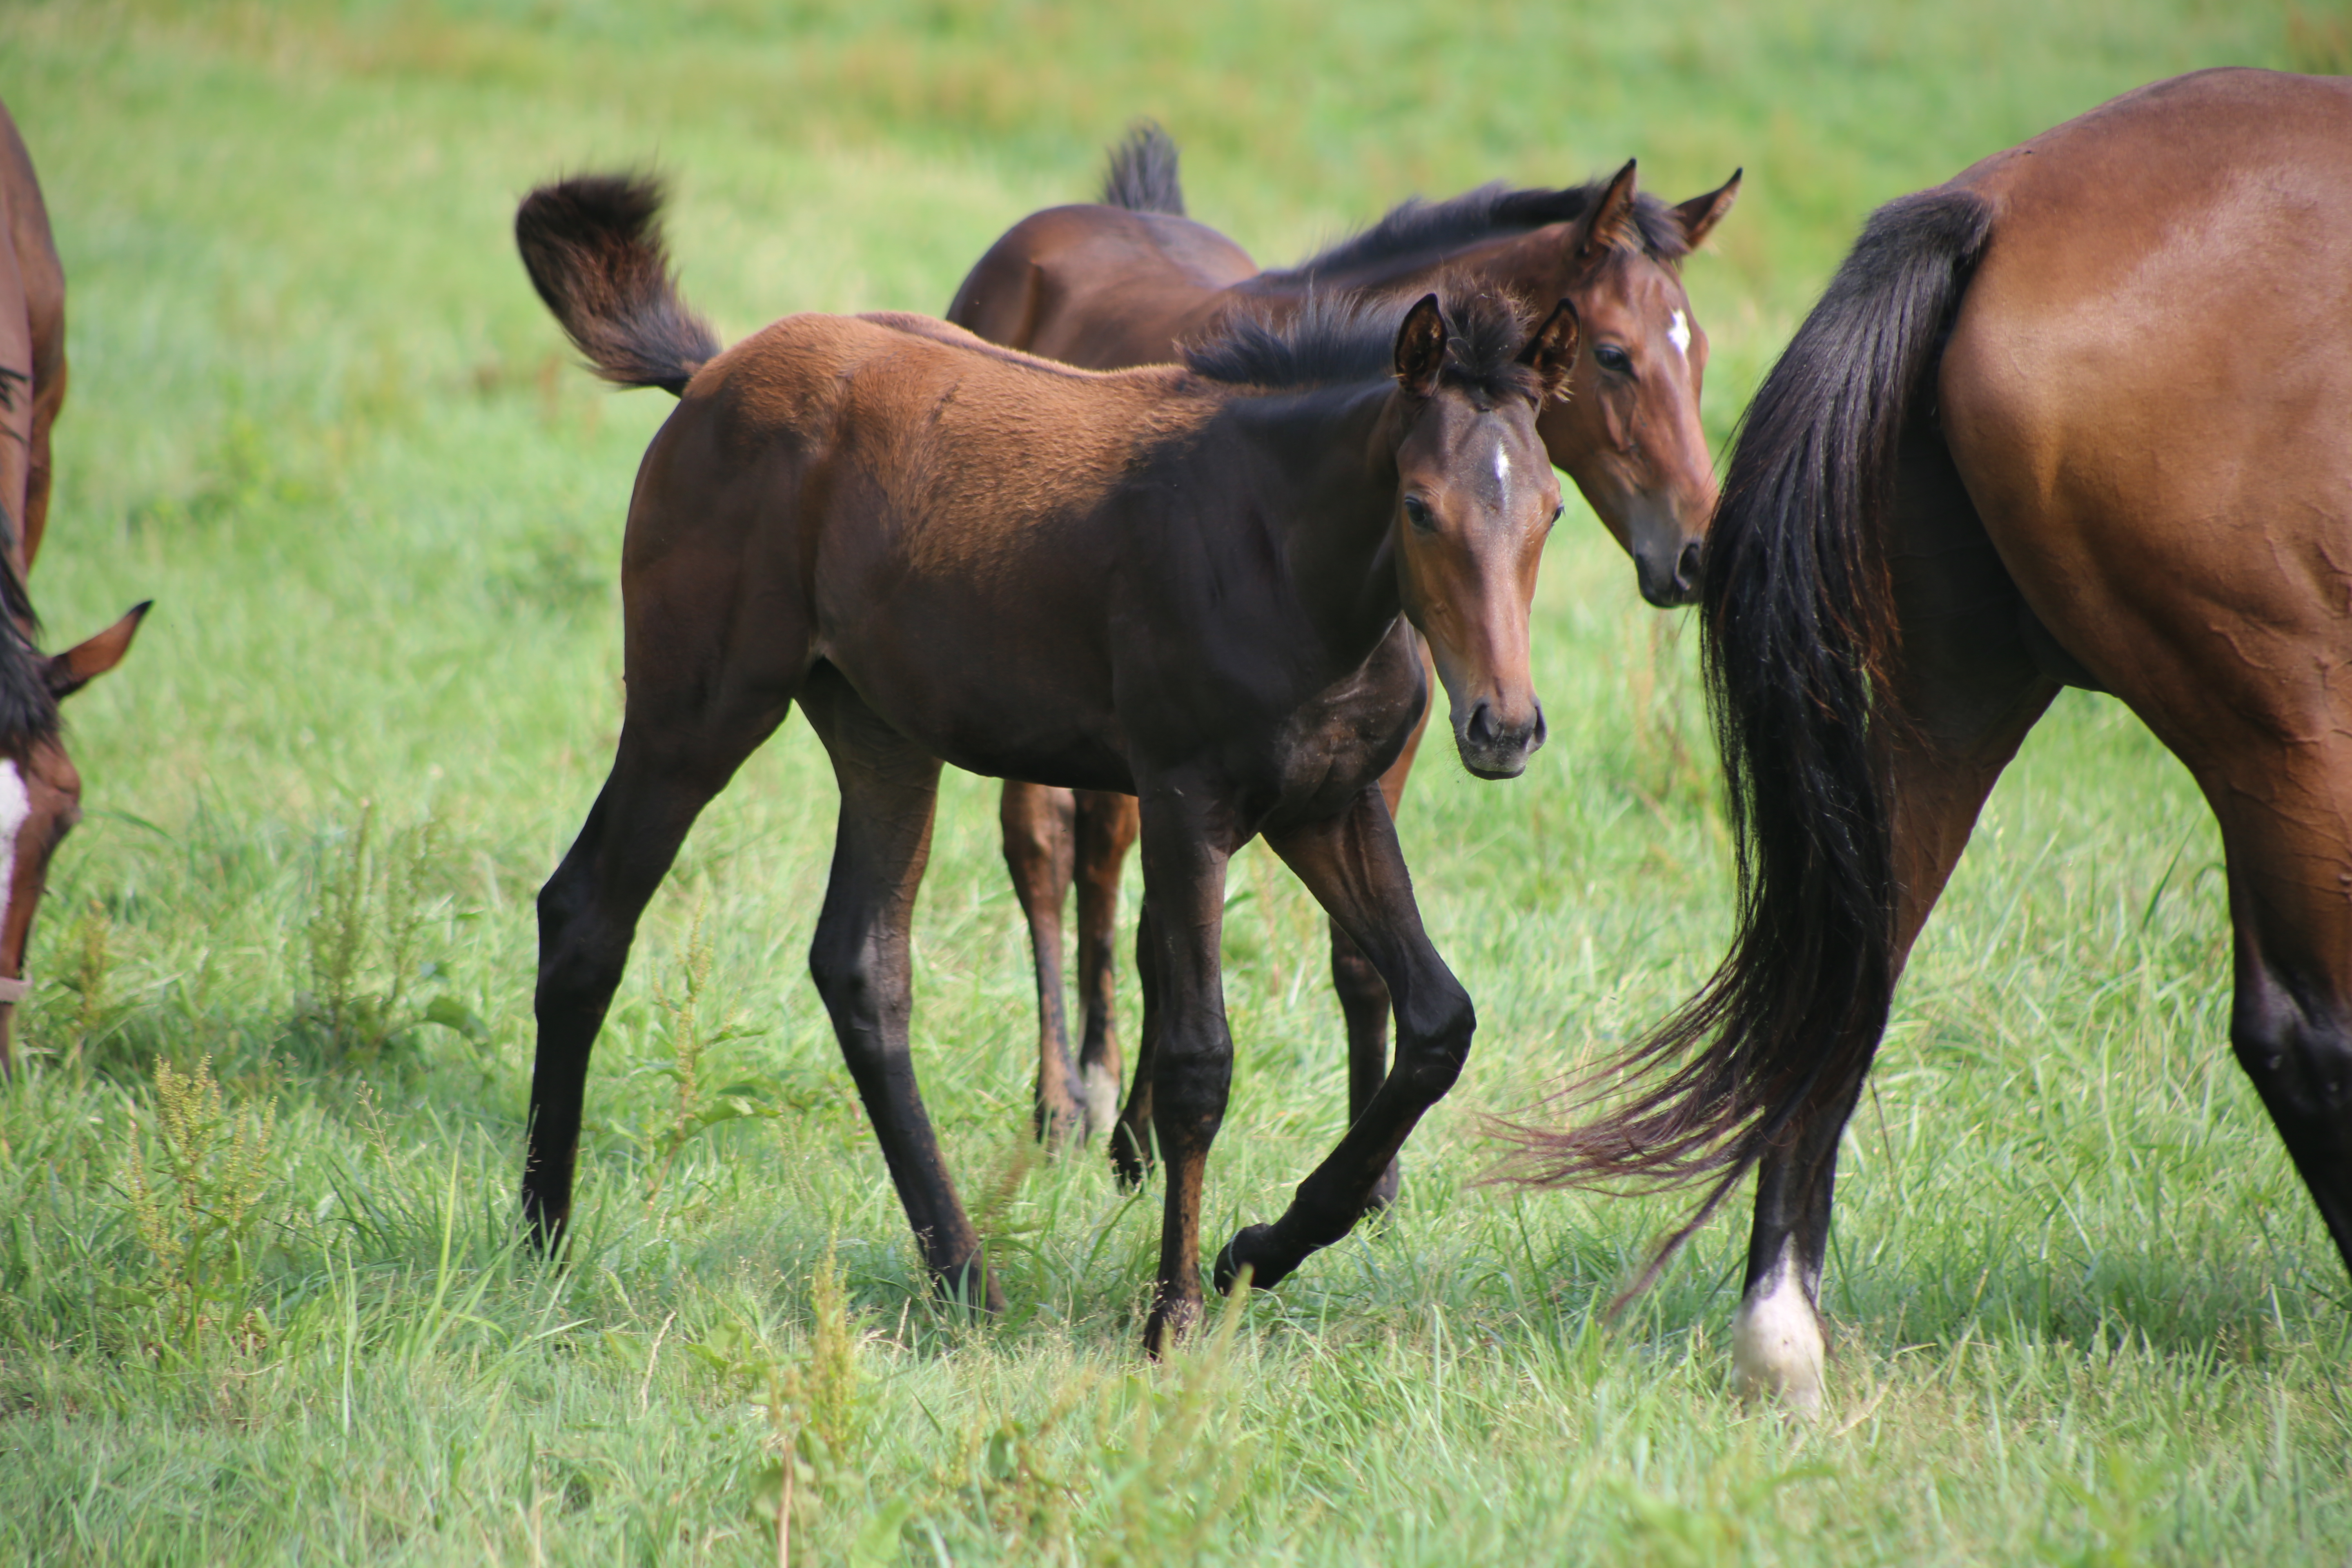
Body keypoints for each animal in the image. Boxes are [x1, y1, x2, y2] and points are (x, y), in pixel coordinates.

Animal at [517, 172, 1580, 1354]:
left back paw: (963, 1275)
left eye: (1550, 508)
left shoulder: (1329, 805)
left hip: (880, 734)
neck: (1277, 546)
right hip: (693, 708)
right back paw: (545, 1235)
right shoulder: (1187, 797)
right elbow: (1197, 1060)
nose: (1502, 727)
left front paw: (1262, 1247)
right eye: (1419, 506)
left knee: (862, 966)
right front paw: (1172, 1312)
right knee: (587, 910)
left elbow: (1438, 1019)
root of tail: (710, 374)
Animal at [945, 129, 1740, 1189]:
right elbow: (1165, 932)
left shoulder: (1377, 747)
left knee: (1100, 864)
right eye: (1614, 356)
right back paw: (1065, 1101)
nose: (1694, 552)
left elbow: (1357, 954)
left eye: (1699, 356)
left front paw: (1376, 1175)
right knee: (1042, 851)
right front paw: (1140, 1142)